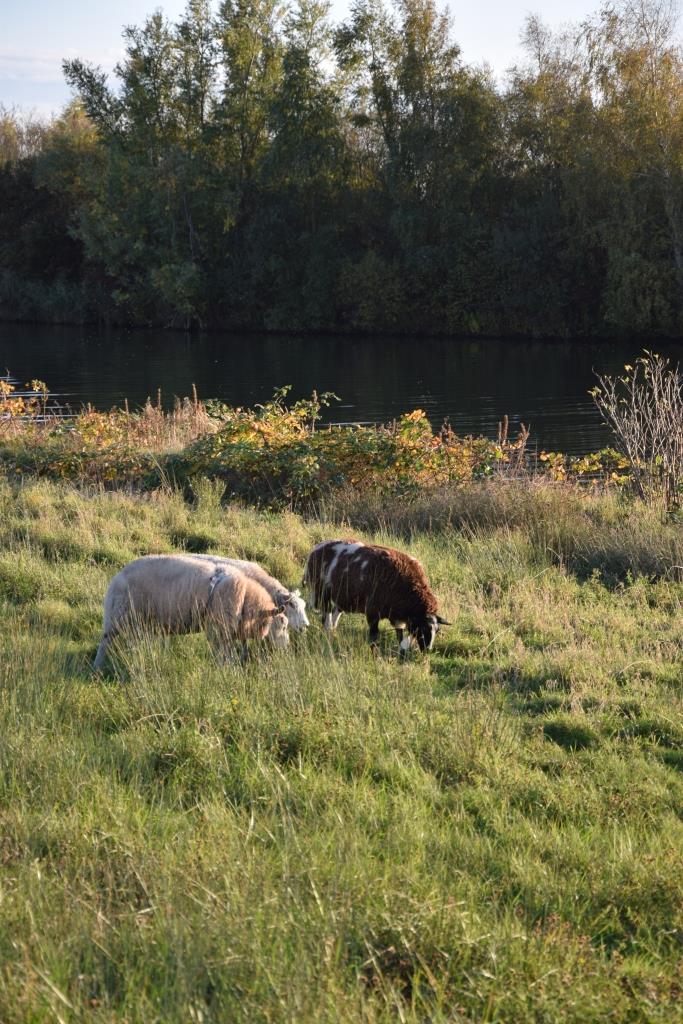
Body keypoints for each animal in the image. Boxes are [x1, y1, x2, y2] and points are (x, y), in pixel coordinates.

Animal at [93, 555, 289, 669]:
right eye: (283, 626)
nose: (286, 648)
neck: (246, 599)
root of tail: (117, 576)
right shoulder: (218, 628)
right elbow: (223, 653)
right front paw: (225, 669)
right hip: (117, 614)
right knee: (105, 641)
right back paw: (98, 666)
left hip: (140, 620)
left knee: (136, 642)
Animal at [304, 539, 450, 655]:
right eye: (423, 629)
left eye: (437, 630)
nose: (428, 650)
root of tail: (316, 548)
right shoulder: (373, 613)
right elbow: (374, 637)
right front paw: (374, 655)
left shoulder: (397, 617)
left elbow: (400, 636)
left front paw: (401, 655)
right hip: (321, 593)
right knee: (326, 618)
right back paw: (327, 636)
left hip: (342, 598)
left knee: (334, 615)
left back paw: (333, 635)